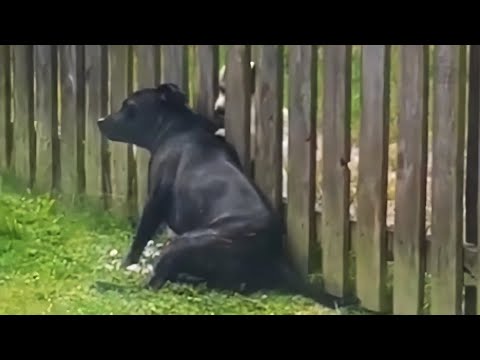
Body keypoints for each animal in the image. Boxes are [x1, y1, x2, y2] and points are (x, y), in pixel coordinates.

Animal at [96, 83, 356, 308]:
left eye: (129, 106)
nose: (100, 121)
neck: (177, 128)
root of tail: (275, 257)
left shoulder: (155, 201)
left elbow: (140, 237)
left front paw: (127, 263)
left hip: (184, 243)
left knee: (152, 285)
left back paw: (108, 285)